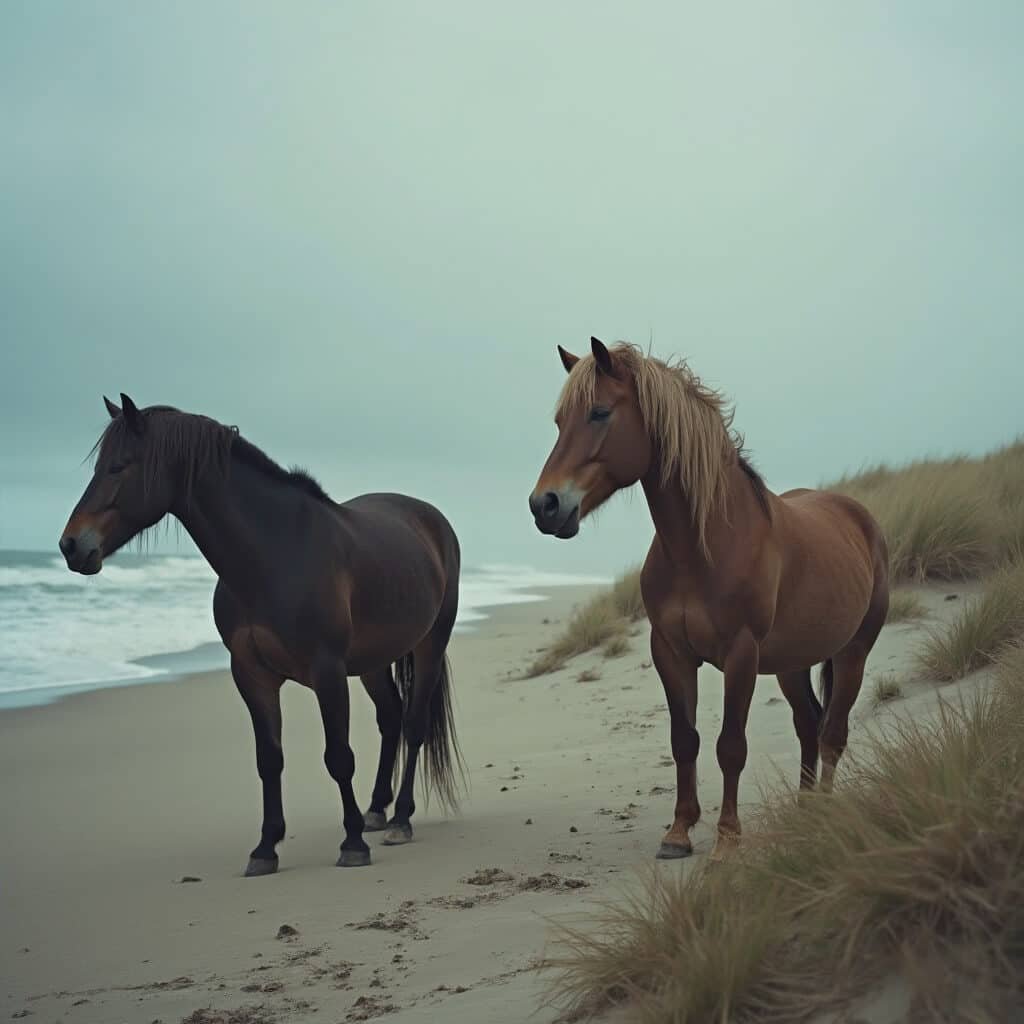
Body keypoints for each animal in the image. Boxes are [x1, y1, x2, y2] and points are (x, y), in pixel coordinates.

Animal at [59, 394, 464, 876]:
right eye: (99, 467)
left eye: (120, 466)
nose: (71, 546)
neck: (274, 553)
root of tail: (433, 520)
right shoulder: (251, 673)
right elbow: (269, 760)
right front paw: (266, 848)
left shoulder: (327, 671)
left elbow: (338, 757)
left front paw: (351, 845)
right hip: (373, 661)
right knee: (391, 719)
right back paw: (376, 811)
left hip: (429, 645)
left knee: (414, 725)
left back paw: (400, 819)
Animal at [529, 339, 889, 861]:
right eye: (559, 422)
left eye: (599, 413)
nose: (545, 506)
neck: (704, 547)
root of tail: (860, 519)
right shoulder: (671, 652)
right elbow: (685, 739)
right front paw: (679, 832)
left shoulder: (740, 655)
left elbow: (730, 746)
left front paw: (727, 841)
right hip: (791, 663)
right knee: (808, 724)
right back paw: (803, 815)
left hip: (852, 653)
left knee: (832, 733)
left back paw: (821, 813)